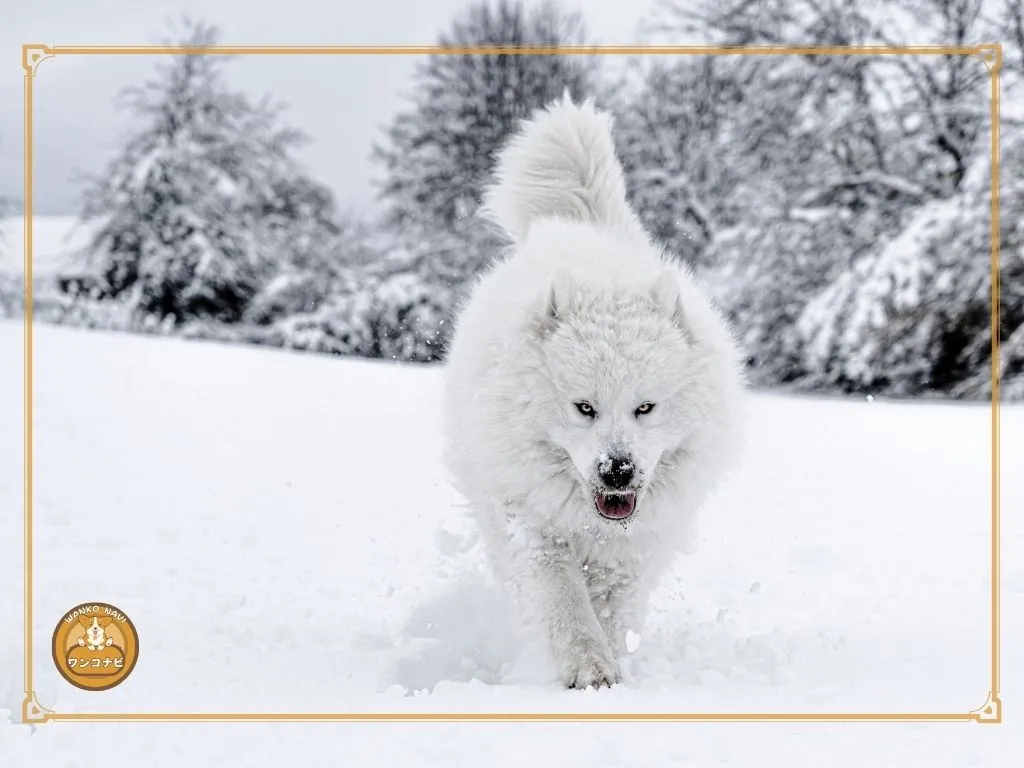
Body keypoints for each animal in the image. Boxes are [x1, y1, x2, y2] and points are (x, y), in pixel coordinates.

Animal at [440, 96, 745, 692]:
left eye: (645, 408)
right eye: (585, 408)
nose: (618, 471)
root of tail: (579, 224)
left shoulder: (632, 549)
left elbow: (610, 608)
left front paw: (611, 665)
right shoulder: (531, 524)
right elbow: (563, 601)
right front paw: (587, 668)